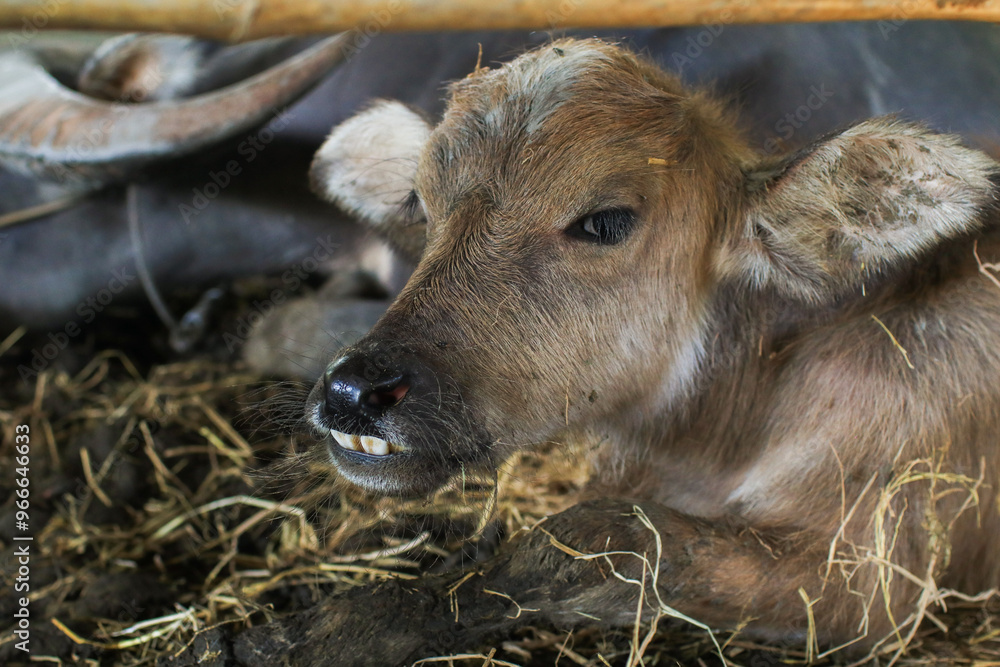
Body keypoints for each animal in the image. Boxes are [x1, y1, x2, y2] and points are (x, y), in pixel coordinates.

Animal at [232, 37, 1000, 666]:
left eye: (605, 221)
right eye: (422, 204)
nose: (356, 391)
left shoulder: (868, 577)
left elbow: (585, 541)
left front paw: (297, 638)